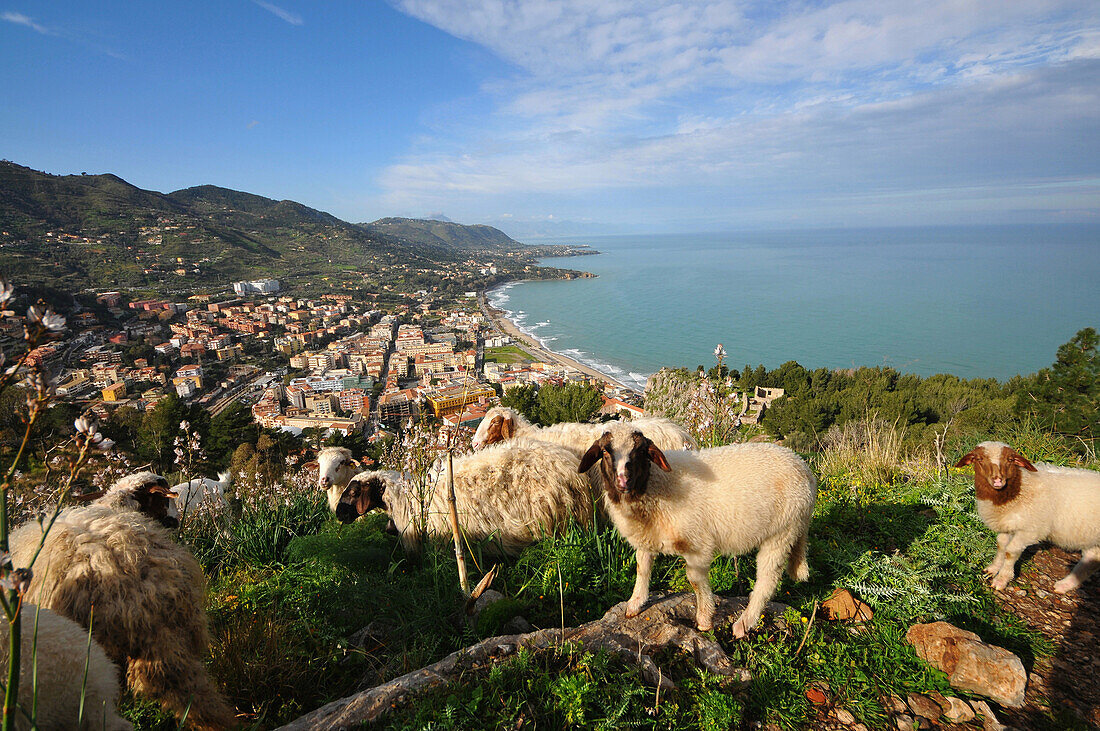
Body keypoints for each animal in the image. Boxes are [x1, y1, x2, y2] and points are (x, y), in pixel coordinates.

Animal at [580, 430, 814, 637]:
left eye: (640, 451)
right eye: (605, 451)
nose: (623, 481)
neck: (655, 485)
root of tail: (803, 468)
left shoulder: (697, 543)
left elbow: (694, 580)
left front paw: (704, 619)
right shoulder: (646, 536)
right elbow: (642, 568)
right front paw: (635, 603)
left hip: (781, 532)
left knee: (767, 581)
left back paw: (744, 623)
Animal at [954, 439, 1100, 593]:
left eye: (1010, 459)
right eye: (979, 459)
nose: (998, 480)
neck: (1019, 489)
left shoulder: (1031, 530)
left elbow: (1010, 552)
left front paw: (1002, 579)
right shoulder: (1008, 523)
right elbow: (1001, 545)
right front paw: (993, 569)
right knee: (1092, 559)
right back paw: (1064, 585)